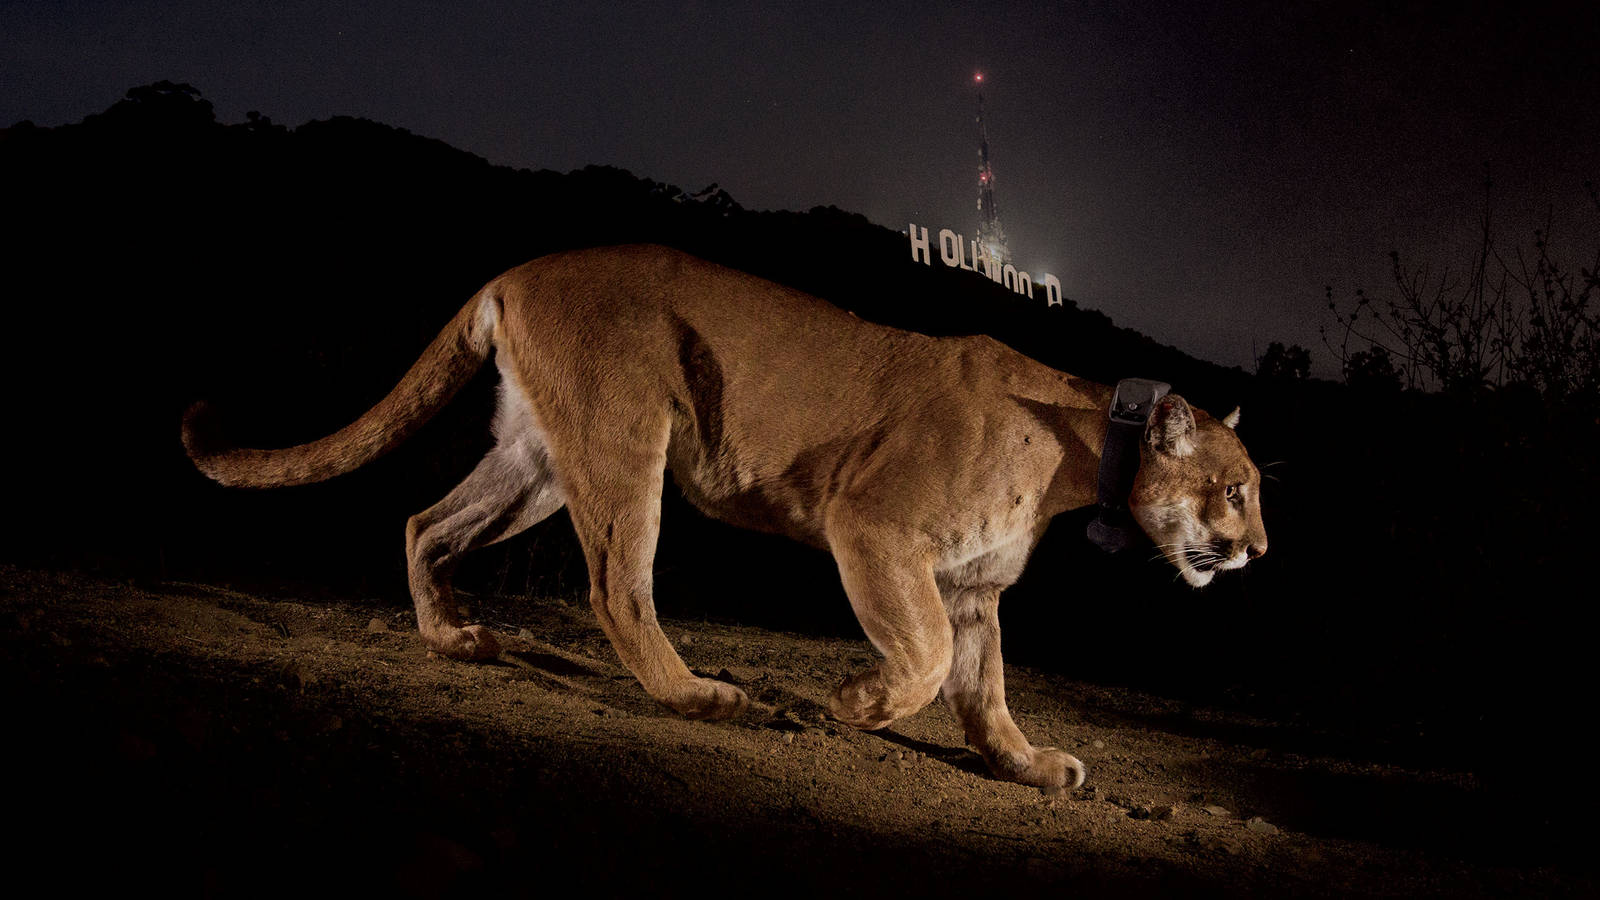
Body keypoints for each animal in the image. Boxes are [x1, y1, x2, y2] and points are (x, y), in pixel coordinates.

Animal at [183, 244, 1267, 792]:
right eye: (1237, 487)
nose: (1258, 548)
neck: (1085, 451)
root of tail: (520, 269)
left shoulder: (972, 587)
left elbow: (983, 691)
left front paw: (1030, 765)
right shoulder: (874, 528)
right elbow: (921, 661)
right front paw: (855, 703)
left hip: (537, 460)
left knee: (424, 522)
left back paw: (453, 638)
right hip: (627, 436)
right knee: (617, 586)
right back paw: (701, 696)